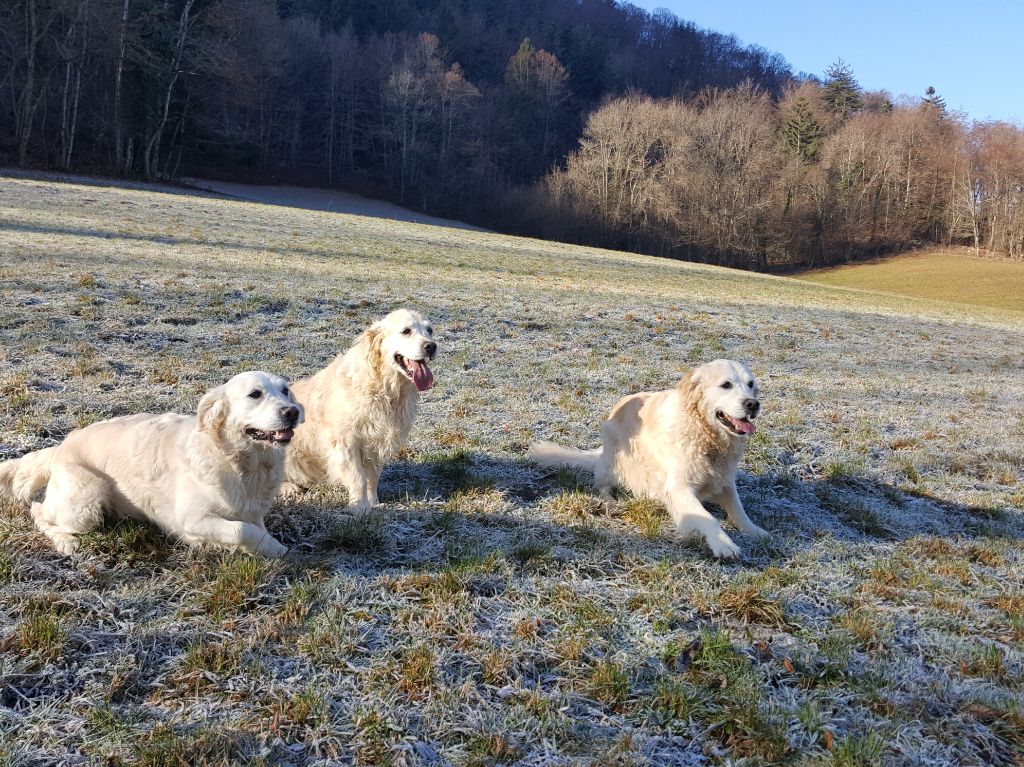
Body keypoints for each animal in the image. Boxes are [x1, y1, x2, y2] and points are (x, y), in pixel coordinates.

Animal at [0, 368, 301, 552]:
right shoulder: (190, 519)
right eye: (255, 394)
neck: (242, 463)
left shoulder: (252, 511)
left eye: (285, 390)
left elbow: (253, 527)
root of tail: (62, 444)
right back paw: (66, 544)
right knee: (39, 511)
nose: (293, 412)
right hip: (86, 504)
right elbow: (241, 530)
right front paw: (278, 549)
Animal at [284, 305, 436, 507]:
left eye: (430, 330)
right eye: (406, 331)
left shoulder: (376, 443)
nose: (431, 346)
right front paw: (360, 507)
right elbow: (358, 478)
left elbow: (372, 478)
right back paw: (288, 487)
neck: (384, 387)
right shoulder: (346, 441)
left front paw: (374, 504)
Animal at [532, 358, 765, 557]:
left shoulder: (724, 480)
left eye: (751, 384)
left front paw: (757, 532)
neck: (708, 436)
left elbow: (739, 510)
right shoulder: (678, 487)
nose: (753, 404)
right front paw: (724, 544)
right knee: (602, 484)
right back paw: (610, 502)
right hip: (613, 461)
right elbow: (707, 518)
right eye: (726, 385)